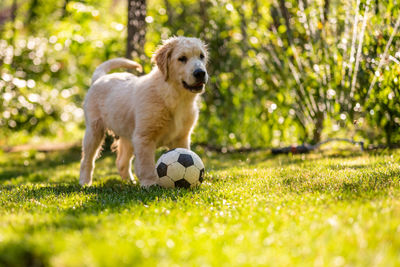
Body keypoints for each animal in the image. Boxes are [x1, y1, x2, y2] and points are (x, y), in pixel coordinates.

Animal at [79, 37, 209, 188]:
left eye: (201, 56)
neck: (173, 96)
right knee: (87, 159)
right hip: (94, 131)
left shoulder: (181, 137)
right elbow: (146, 165)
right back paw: (85, 182)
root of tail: (100, 78)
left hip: (128, 134)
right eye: (182, 58)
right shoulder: (144, 137)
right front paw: (150, 184)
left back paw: (129, 181)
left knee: (121, 161)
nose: (200, 73)